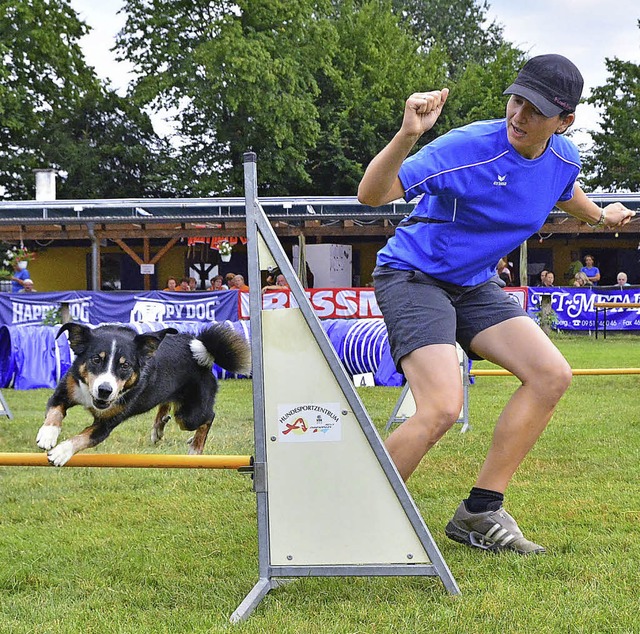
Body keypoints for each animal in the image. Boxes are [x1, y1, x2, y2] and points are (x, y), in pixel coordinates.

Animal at [34, 320, 250, 464]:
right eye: (96, 359)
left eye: (125, 365)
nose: (105, 390)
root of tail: (204, 354)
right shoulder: (66, 389)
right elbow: (55, 411)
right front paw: (47, 434)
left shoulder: (105, 425)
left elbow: (83, 437)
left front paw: (61, 452)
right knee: (166, 402)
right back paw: (159, 427)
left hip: (188, 415)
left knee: (208, 417)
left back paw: (195, 448)